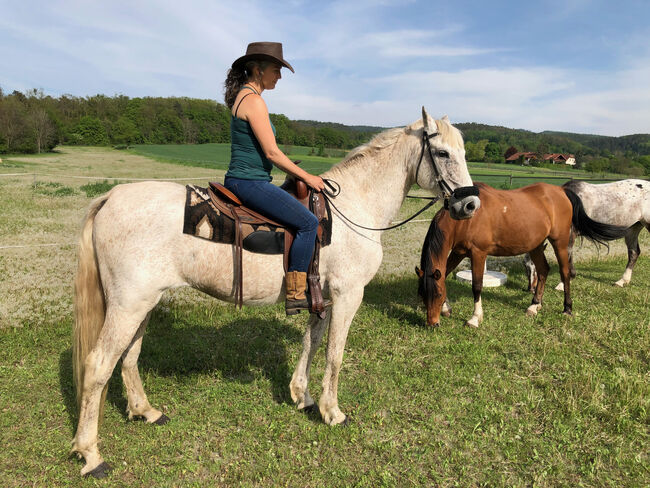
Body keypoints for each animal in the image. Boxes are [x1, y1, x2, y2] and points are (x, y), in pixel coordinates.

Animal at [71, 108, 478, 478]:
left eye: (463, 152)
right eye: (442, 153)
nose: (470, 204)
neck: (356, 207)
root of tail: (110, 197)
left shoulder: (323, 298)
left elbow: (311, 343)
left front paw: (304, 397)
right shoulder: (348, 295)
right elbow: (334, 354)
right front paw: (333, 412)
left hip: (143, 303)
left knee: (128, 357)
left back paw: (145, 412)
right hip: (128, 305)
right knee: (99, 365)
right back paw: (91, 454)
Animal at [412, 182, 624, 328]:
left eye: (438, 294)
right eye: (422, 293)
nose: (432, 323)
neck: (465, 219)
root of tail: (561, 191)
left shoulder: (478, 253)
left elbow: (477, 286)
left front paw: (475, 318)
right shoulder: (458, 252)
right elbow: (444, 274)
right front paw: (446, 309)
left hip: (561, 243)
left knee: (565, 272)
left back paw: (567, 308)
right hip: (536, 245)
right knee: (543, 270)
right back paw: (534, 305)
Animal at [520, 179, 648, 290]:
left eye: (534, 265)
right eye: (525, 266)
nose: (530, 288)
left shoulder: (569, 236)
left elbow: (567, 257)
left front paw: (563, 284)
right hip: (633, 229)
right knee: (634, 252)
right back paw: (622, 281)